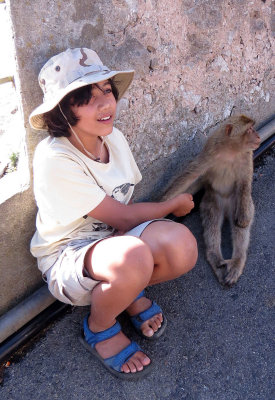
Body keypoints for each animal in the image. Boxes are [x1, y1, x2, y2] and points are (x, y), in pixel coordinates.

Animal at [164, 114, 260, 286]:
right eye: (249, 129)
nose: (258, 136)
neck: (232, 151)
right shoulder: (210, 152)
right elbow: (191, 176)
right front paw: (164, 200)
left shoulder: (247, 156)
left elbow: (244, 183)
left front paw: (242, 220)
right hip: (212, 200)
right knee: (212, 224)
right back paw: (216, 258)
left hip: (235, 203)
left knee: (241, 222)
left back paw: (237, 260)